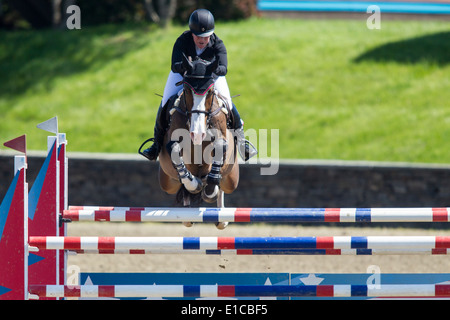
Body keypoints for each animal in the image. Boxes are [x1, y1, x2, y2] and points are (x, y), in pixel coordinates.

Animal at [156, 54, 239, 228]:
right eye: (187, 90)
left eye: (210, 92)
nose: (198, 133)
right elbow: (174, 149)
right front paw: (194, 184)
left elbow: (220, 147)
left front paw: (210, 188)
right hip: (167, 182)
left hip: (231, 179)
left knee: (223, 186)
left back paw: (220, 215)